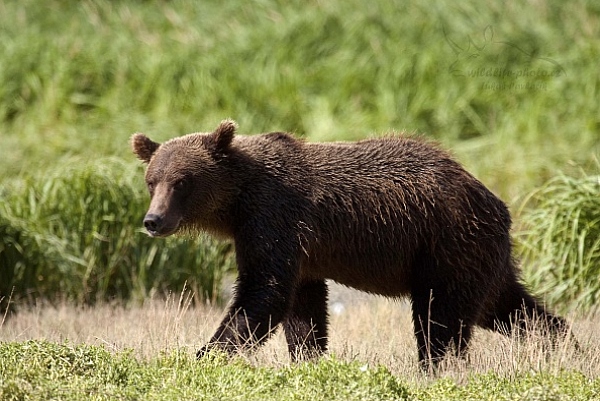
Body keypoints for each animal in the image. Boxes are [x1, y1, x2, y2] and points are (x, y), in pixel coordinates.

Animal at [131, 119, 568, 366]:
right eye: (152, 181)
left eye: (182, 182)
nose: (153, 221)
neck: (237, 203)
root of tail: (497, 203)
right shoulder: (300, 251)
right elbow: (302, 308)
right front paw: (309, 360)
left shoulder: (273, 217)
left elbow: (262, 295)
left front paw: (202, 357)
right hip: (480, 255)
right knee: (509, 308)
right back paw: (564, 346)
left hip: (447, 243)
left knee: (440, 317)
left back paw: (436, 367)